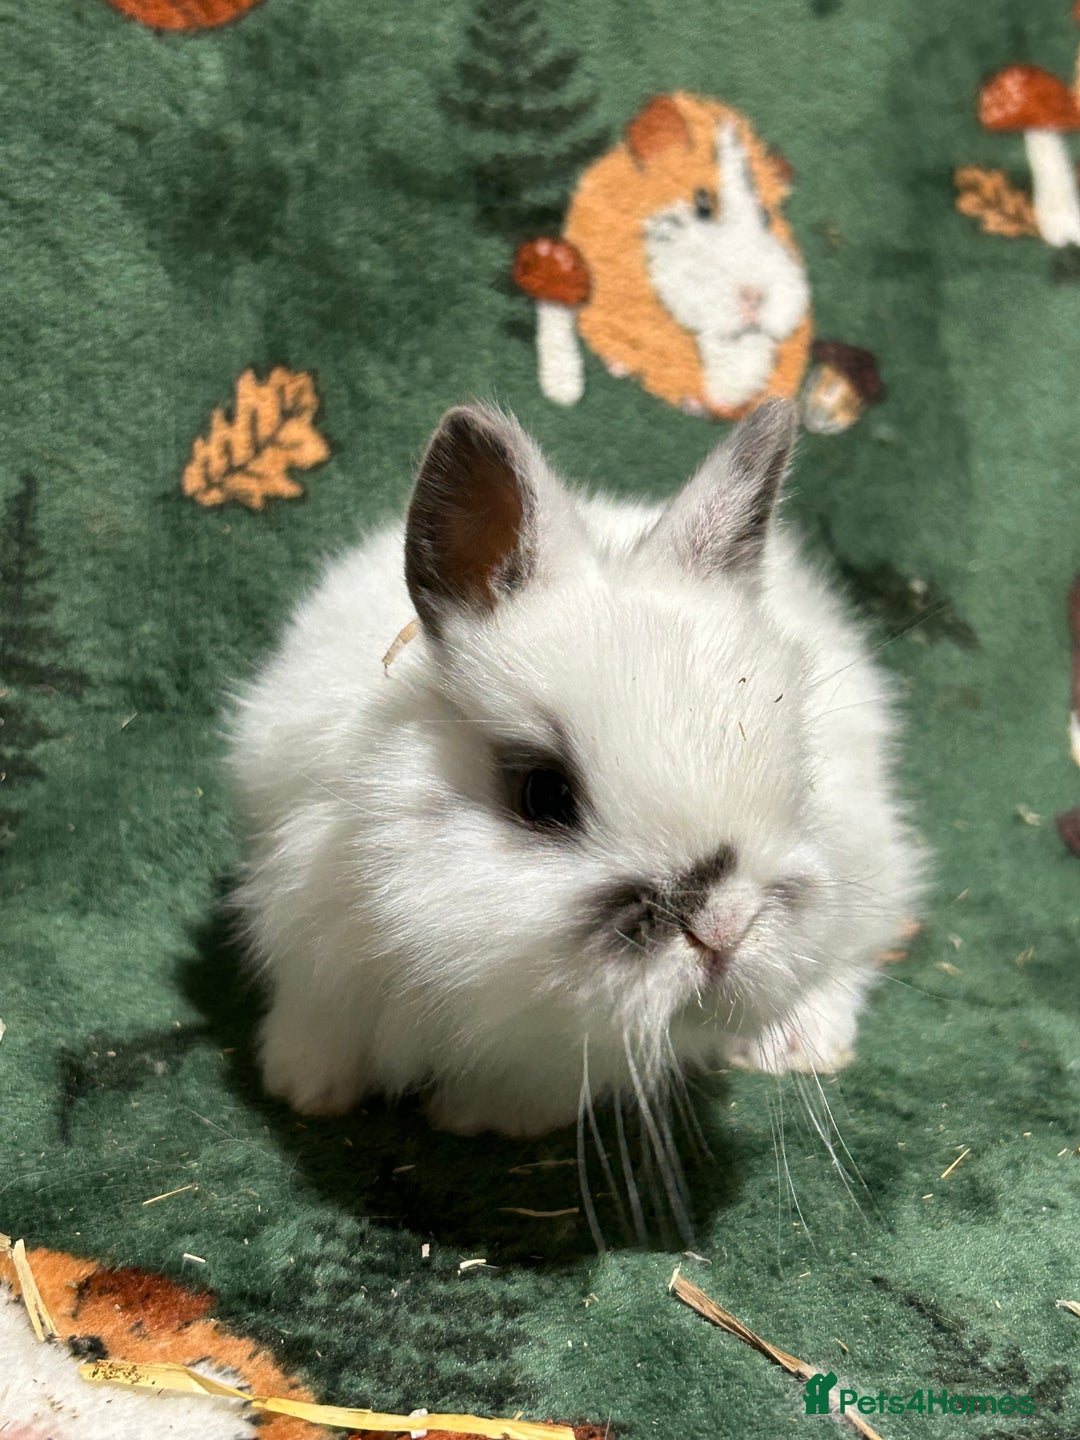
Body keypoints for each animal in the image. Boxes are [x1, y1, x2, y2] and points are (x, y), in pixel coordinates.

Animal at [229, 399, 924, 1138]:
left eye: (798, 783)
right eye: (545, 794)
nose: (723, 929)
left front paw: (478, 1117)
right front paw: (305, 1088)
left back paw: (798, 1045)